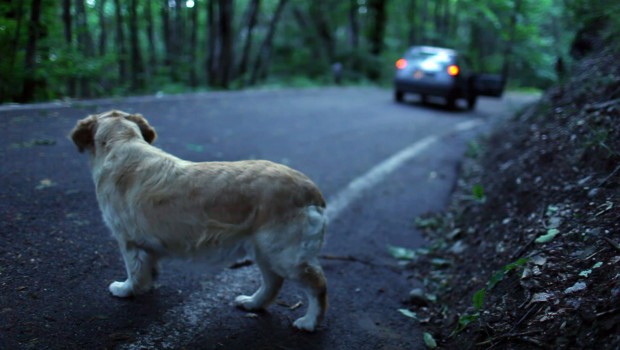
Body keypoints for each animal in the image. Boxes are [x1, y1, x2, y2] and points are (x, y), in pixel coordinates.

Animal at [69, 109, 326, 330]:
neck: (122, 140)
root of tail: (312, 191)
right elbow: (148, 269)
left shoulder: (127, 240)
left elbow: (134, 270)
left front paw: (126, 289)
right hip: (263, 249)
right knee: (273, 282)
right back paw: (252, 303)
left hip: (284, 254)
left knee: (317, 284)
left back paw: (309, 322)